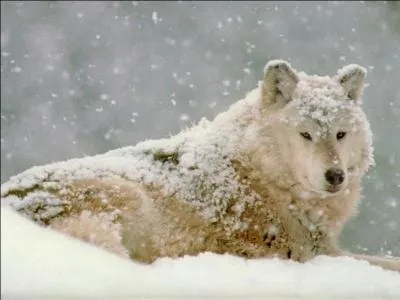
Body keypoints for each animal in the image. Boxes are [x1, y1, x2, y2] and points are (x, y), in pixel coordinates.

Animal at [0, 59, 400, 272]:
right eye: (305, 134)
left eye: (340, 134)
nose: (336, 176)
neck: (263, 174)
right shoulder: (312, 253)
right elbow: (384, 261)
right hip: (124, 194)